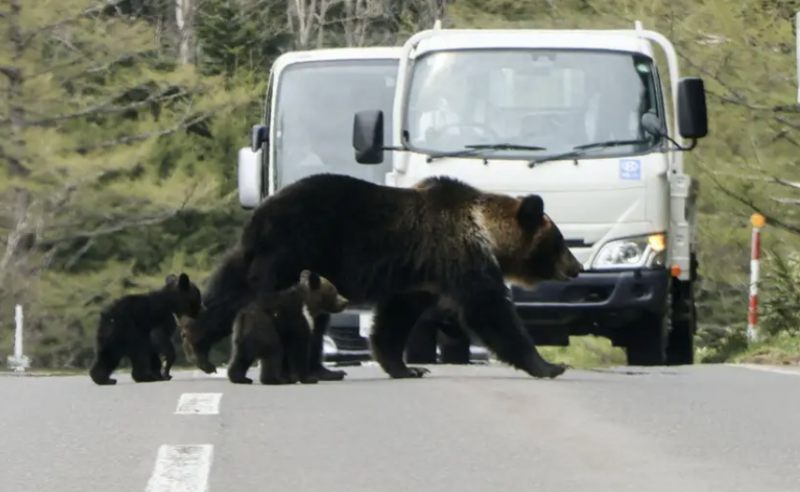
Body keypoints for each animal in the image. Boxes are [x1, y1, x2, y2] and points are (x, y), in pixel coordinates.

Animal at [183, 173, 583, 381]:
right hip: (292, 250)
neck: (484, 231)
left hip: (281, 259)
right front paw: (549, 365)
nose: (576, 267)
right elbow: (490, 310)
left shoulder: (422, 277)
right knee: (265, 303)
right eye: (559, 241)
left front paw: (405, 367)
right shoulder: (458, 256)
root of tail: (260, 212)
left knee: (231, 292)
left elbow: (396, 317)